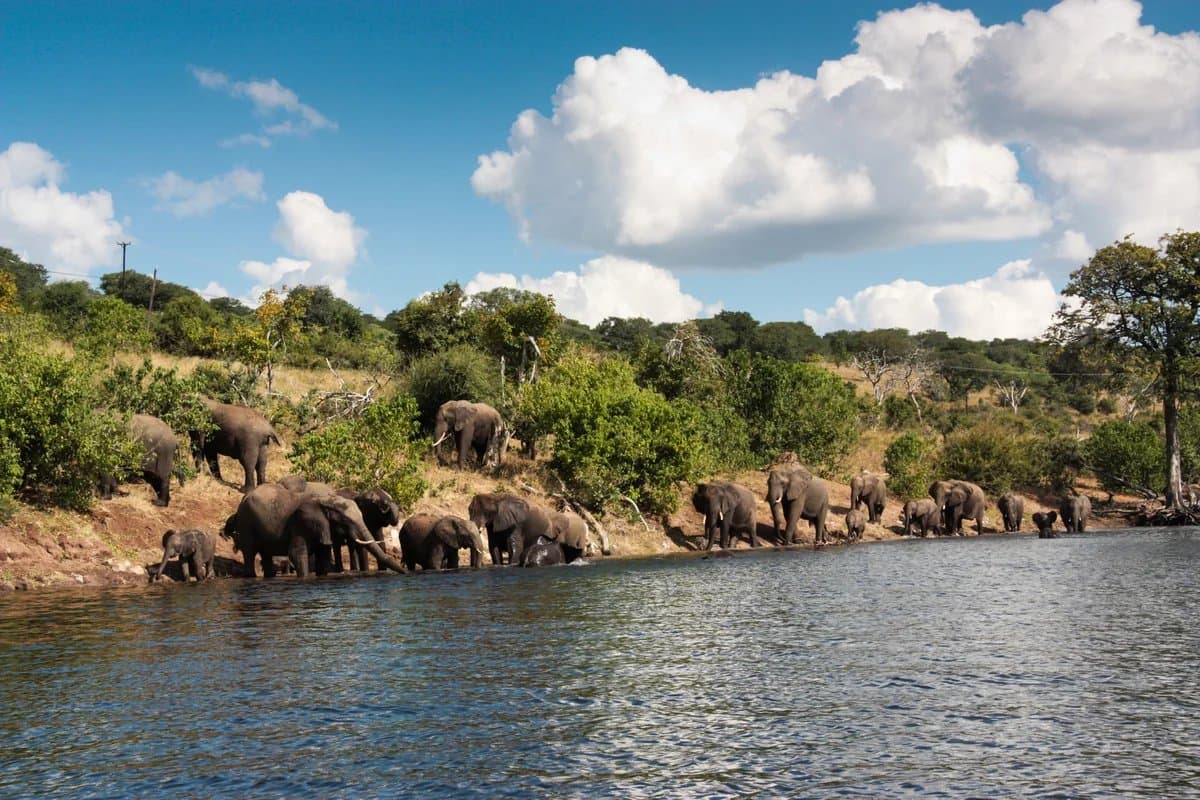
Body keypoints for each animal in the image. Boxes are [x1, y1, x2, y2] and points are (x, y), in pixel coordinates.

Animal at [226, 482, 407, 577]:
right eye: (345, 521)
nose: (405, 572)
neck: (327, 501)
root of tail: (244, 498)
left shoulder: (323, 527)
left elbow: (323, 554)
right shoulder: (300, 524)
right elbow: (297, 553)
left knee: (266, 555)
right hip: (246, 522)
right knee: (249, 553)